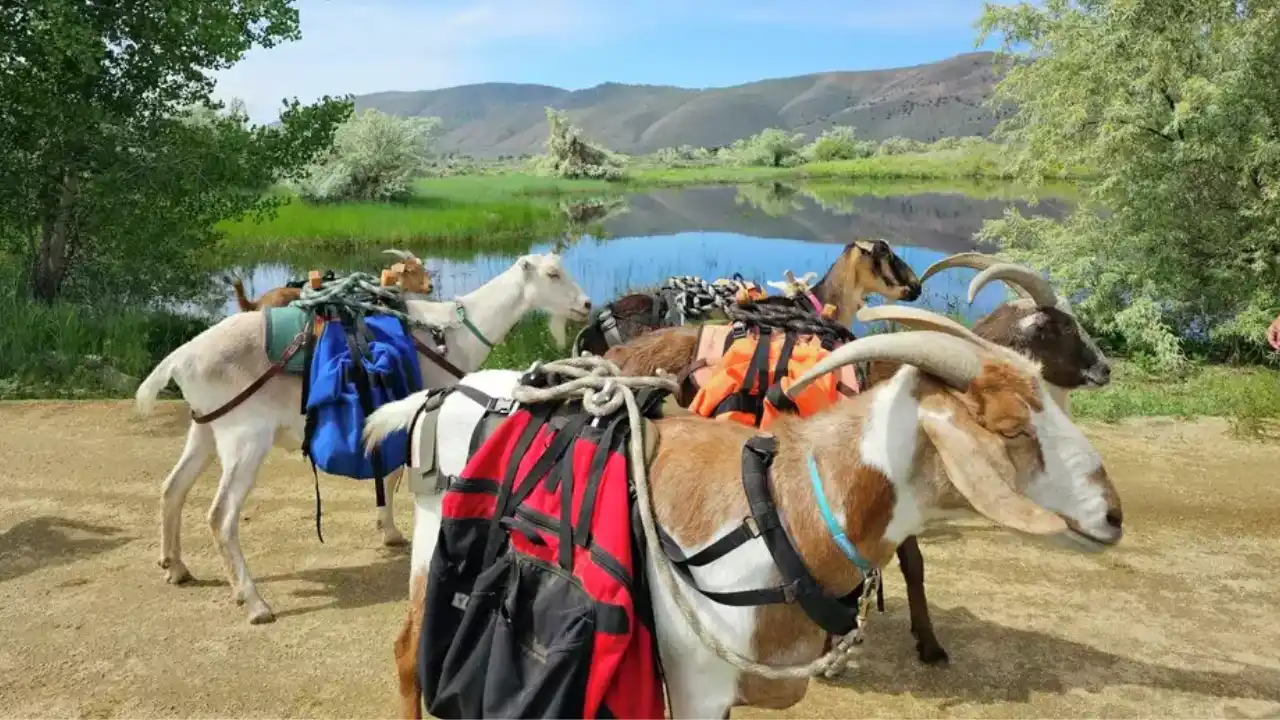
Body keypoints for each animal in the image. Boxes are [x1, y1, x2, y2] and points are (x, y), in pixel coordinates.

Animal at [364, 308, 1124, 719]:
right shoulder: (696, 682)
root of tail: (447, 395)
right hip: (433, 545)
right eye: (1011, 426)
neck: (778, 509)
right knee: (405, 653)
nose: (1112, 514)